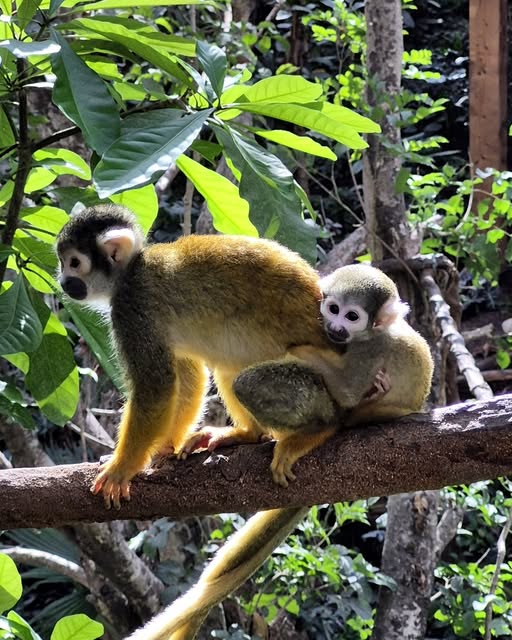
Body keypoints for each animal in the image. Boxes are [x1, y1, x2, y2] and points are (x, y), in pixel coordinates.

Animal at [124, 263, 434, 640]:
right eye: (333, 309)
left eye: (353, 316)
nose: (335, 327)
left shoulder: (370, 349)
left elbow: (345, 388)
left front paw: (303, 349)